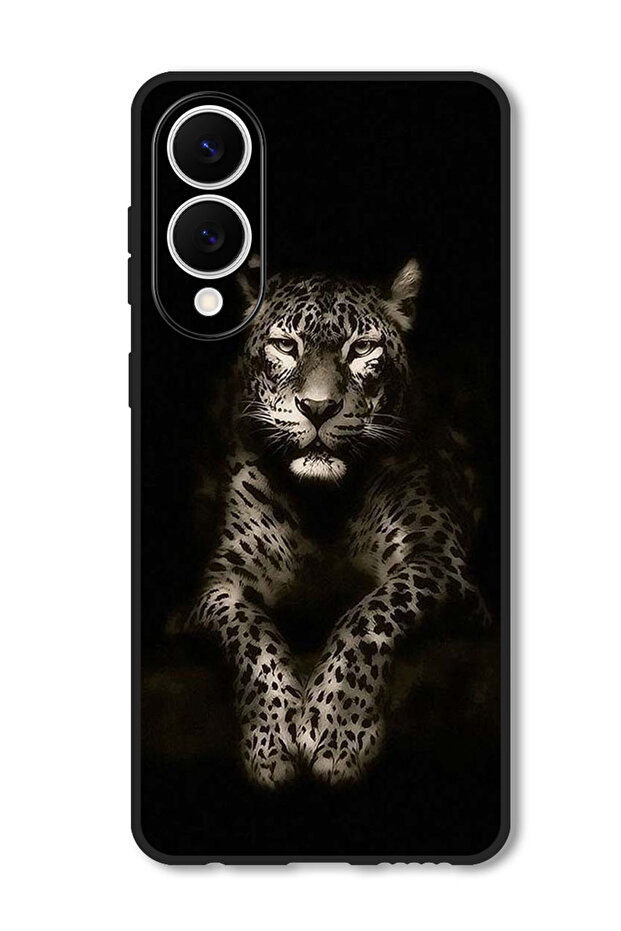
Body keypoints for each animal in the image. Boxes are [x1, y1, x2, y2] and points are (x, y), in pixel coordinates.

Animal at [187, 258, 490, 788]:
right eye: (286, 346)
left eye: (362, 348)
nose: (318, 408)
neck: (322, 506)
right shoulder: (221, 584)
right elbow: (251, 635)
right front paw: (271, 739)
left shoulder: (439, 560)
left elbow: (368, 615)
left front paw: (337, 730)